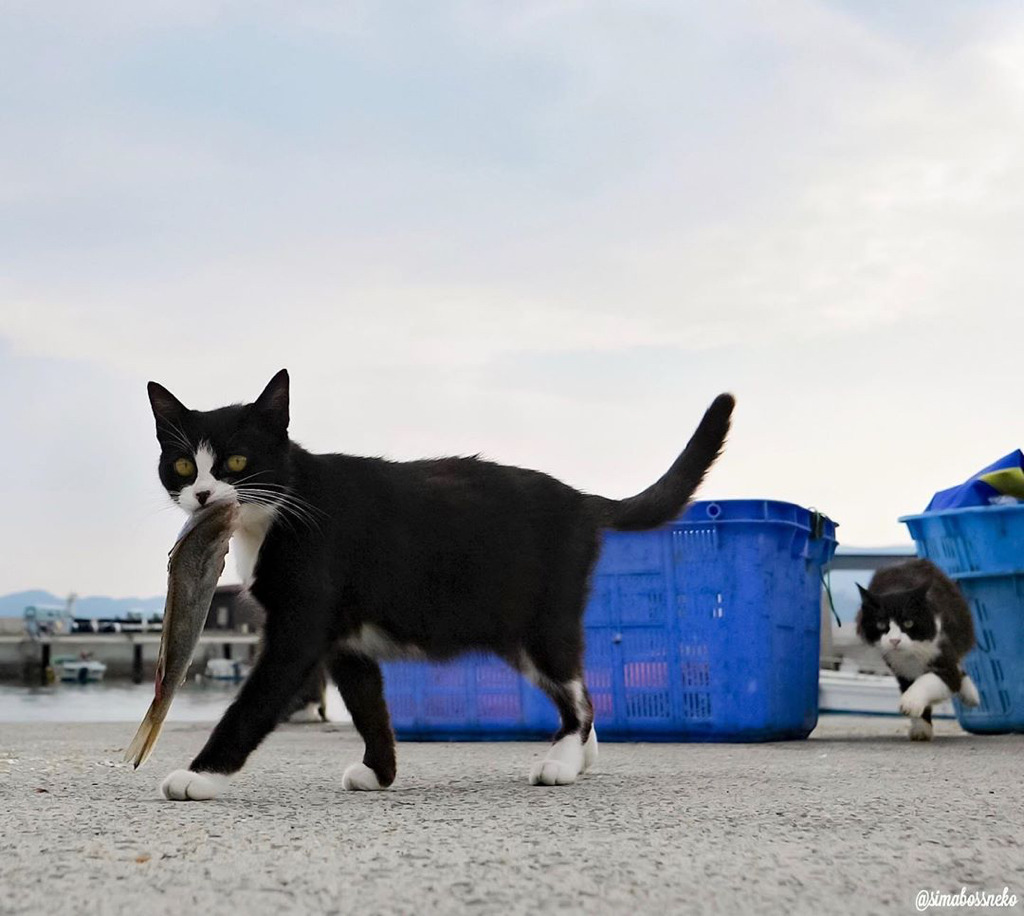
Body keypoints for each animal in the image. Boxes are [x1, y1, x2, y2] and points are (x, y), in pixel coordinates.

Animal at [148, 372, 733, 802]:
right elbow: (368, 705)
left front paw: (200, 775)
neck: (278, 509)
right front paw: (379, 773)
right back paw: (583, 756)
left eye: (237, 462)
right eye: (182, 464)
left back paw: (563, 760)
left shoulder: (300, 630)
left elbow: (253, 702)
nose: (203, 495)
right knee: (581, 688)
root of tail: (581, 498)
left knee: (579, 696)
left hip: (542, 623)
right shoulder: (344, 639)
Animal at [851, 556, 978, 745]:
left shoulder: (940, 650)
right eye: (881, 625)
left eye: (908, 623)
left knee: (957, 669)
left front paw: (910, 702)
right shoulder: (900, 669)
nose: (895, 640)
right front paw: (921, 728)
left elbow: (934, 678)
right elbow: (910, 684)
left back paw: (971, 695)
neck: (910, 654)